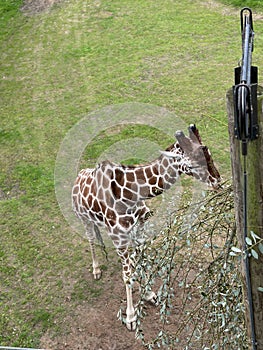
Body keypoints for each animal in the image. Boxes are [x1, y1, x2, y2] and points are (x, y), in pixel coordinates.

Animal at [71, 123, 222, 330]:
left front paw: (150, 294)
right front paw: (131, 317)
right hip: (83, 219)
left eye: (209, 154)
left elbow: (141, 261)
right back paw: (96, 270)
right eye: (192, 164)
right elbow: (127, 275)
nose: (217, 182)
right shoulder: (119, 238)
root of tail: (77, 178)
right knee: (91, 239)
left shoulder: (139, 228)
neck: (130, 194)